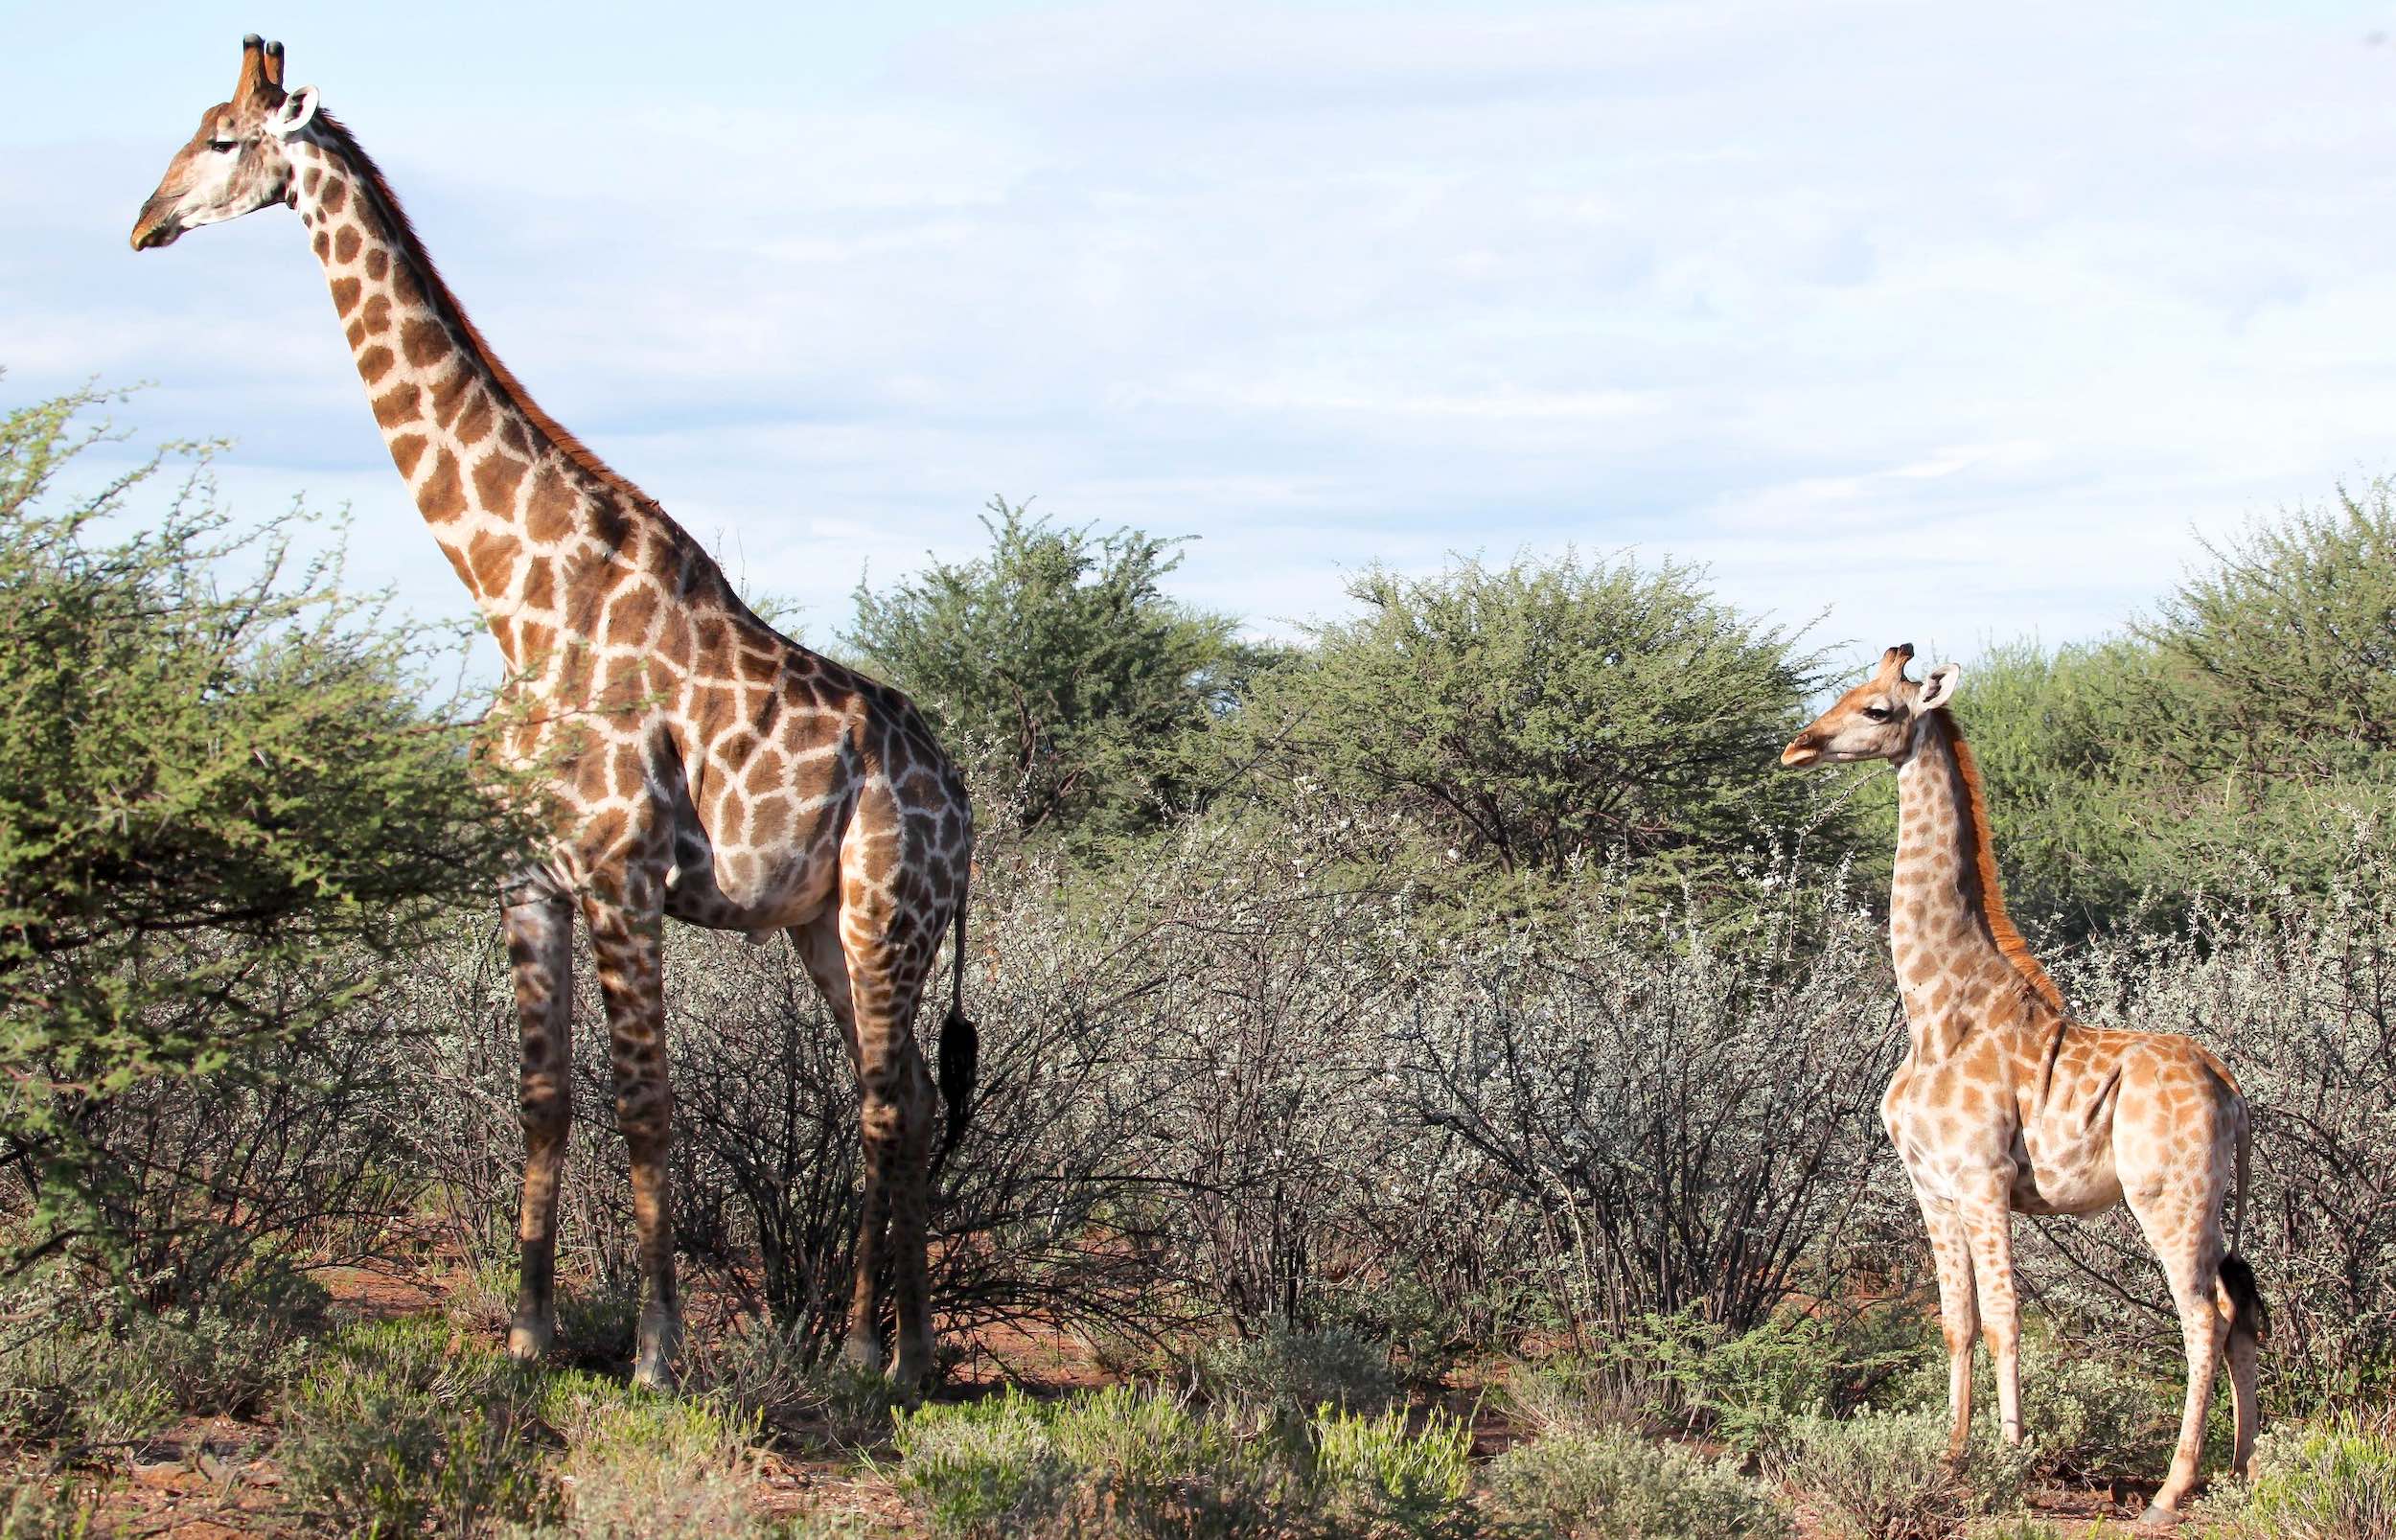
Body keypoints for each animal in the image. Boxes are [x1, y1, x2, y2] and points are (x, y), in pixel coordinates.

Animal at [126, 35, 973, 1389]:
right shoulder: (528, 877)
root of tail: (963, 797)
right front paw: (527, 1333)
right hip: (823, 922)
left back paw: (872, 1354)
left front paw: (656, 1351)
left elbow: (647, 1104)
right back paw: (894, 1351)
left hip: (890, 910)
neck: (516, 600)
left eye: (220, 139)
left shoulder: (624, 874)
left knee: (892, 1102)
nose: (144, 222)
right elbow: (546, 1097)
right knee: (905, 1098)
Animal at [1783, 646, 2262, 1523]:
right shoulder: (1932, 1187)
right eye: (1848, 691)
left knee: (2202, 1319)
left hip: (2169, 1197)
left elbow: (2006, 1319)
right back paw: (2241, 1470)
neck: (1938, 1010)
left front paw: (2007, 1461)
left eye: (1877, 709)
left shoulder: (1982, 1179)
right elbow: (1956, 1321)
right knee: (2240, 1311)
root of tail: (2232, 1089)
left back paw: (2171, 1490)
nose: (1798, 746)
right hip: (2209, 1204)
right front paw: (1949, 1455)